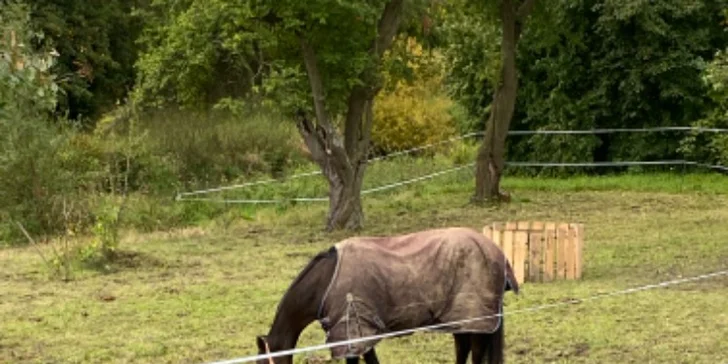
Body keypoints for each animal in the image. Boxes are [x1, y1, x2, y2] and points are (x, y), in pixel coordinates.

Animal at [256, 226, 516, 362]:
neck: (326, 280)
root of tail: (497, 252)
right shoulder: (358, 334)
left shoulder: (355, 333)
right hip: (458, 319)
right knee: (463, 348)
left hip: (475, 319)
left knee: (475, 350)